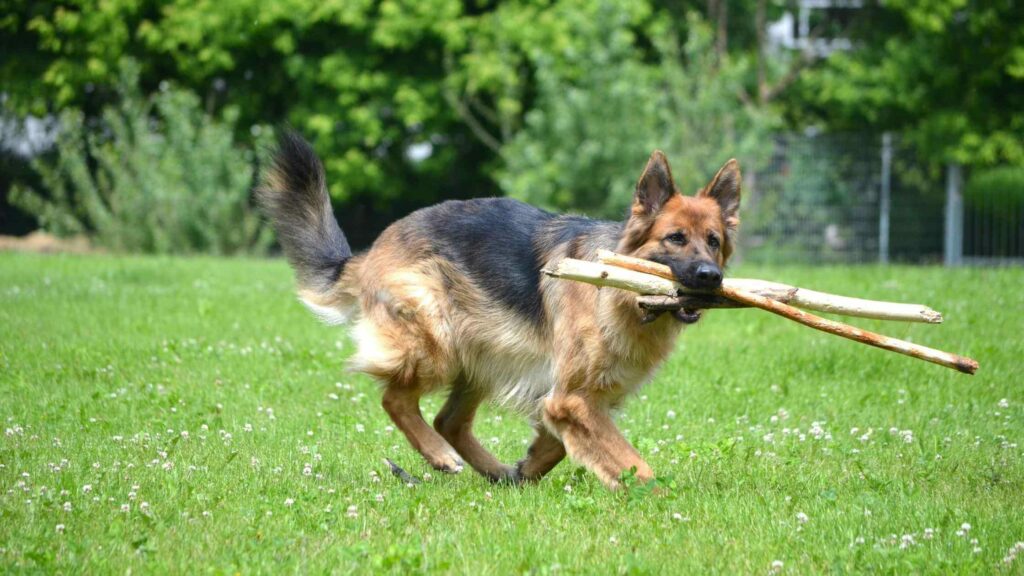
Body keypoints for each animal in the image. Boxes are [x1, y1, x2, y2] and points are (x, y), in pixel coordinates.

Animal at [256, 132, 737, 485]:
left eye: (713, 241)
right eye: (675, 238)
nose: (710, 276)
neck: (623, 297)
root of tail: (372, 248)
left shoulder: (575, 398)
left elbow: (561, 441)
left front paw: (529, 468)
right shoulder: (572, 398)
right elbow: (632, 460)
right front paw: (652, 492)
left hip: (485, 356)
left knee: (448, 420)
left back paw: (493, 472)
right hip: (437, 342)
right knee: (397, 400)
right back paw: (440, 457)